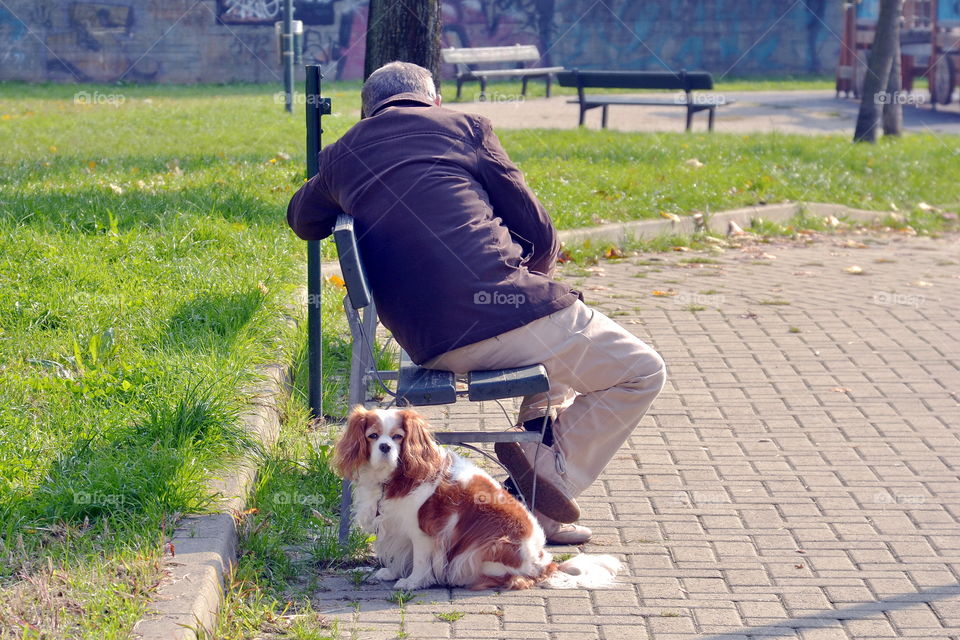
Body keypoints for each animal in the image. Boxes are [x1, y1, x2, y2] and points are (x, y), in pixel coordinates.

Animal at [332, 404, 624, 592]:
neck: (392, 478)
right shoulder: (394, 525)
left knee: (514, 580)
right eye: (372, 436)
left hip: (485, 548)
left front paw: (412, 582)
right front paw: (390, 573)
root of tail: (544, 564)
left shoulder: (423, 532)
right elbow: (397, 552)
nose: (385, 446)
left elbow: (419, 560)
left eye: (398, 437)